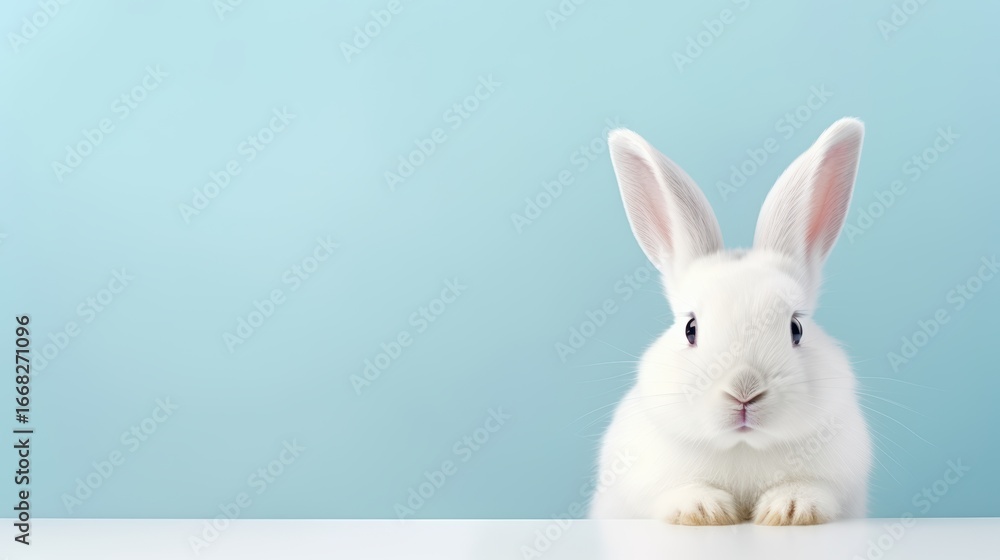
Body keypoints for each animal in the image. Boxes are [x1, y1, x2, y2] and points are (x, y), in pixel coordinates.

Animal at [587, 118, 872, 525]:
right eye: (690, 329)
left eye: (796, 329)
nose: (744, 391)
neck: (743, 446)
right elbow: (673, 494)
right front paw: (704, 510)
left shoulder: (839, 482)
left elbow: (813, 490)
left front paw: (789, 509)